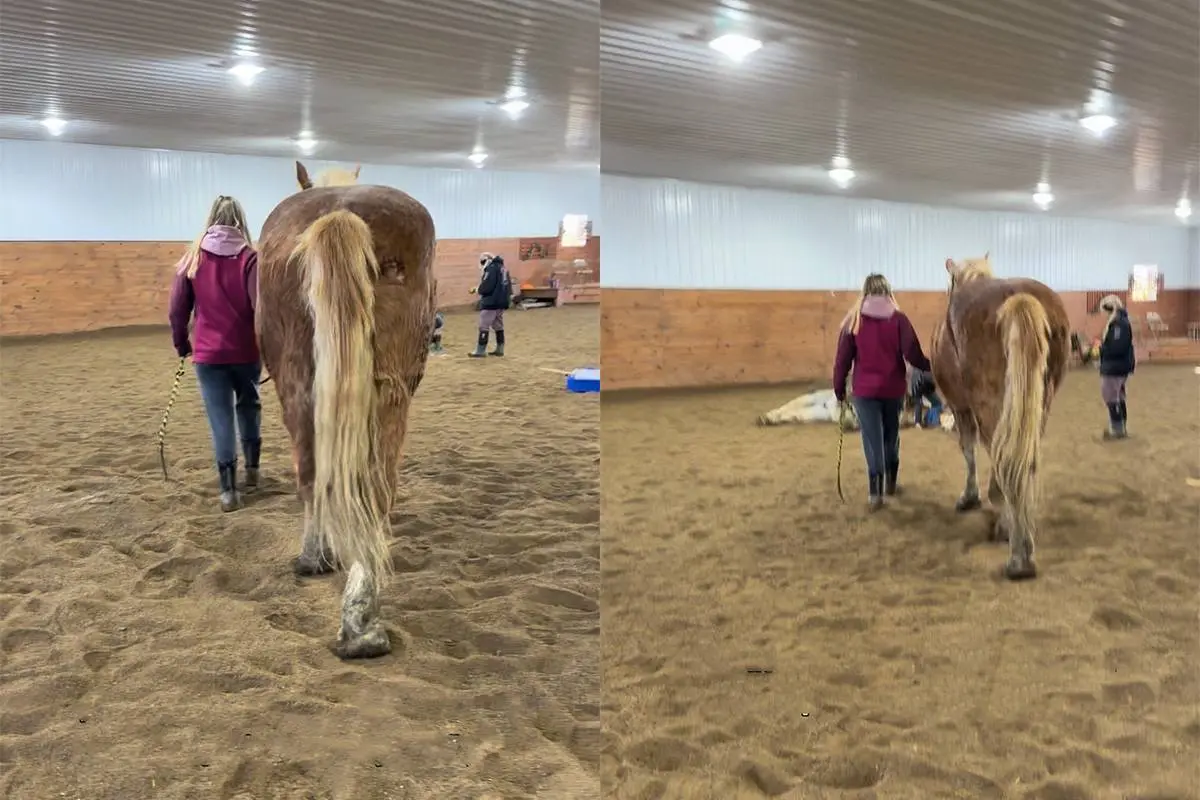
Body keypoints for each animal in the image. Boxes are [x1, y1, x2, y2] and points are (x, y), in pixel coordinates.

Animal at [256, 161, 437, 658]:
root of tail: (341, 211)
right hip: (391, 393)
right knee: (373, 489)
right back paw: (361, 622)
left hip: (299, 384)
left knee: (312, 474)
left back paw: (320, 565)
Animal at [933, 253, 1070, 580]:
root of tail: (1019, 299)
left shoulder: (961, 407)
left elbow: (968, 451)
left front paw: (969, 497)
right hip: (1038, 406)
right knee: (1024, 462)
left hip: (989, 407)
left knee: (1004, 463)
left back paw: (1018, 555)